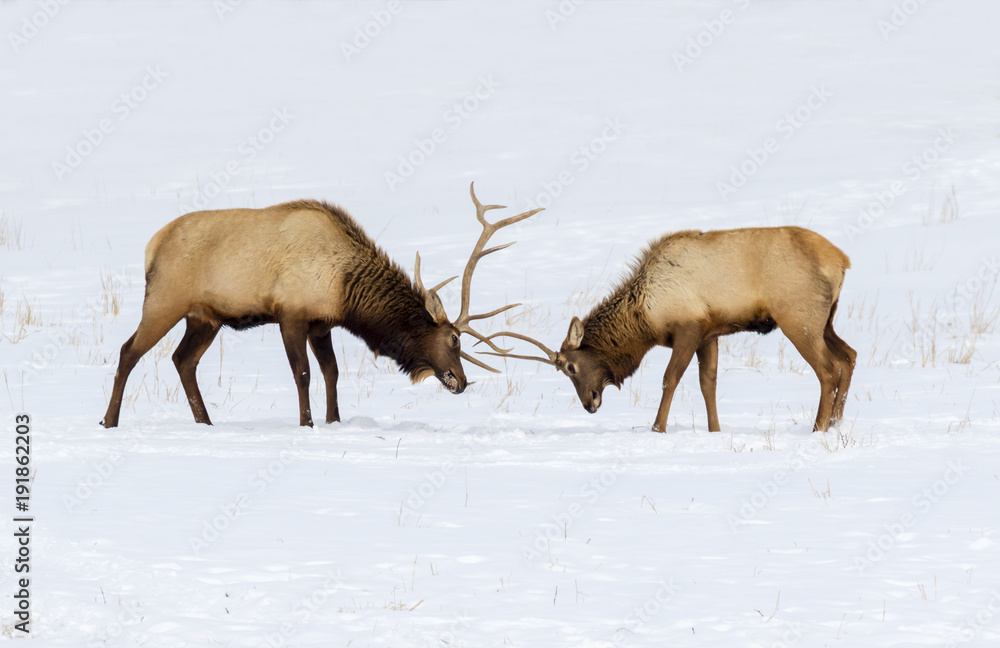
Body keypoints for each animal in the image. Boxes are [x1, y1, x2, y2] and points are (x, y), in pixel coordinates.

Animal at [100, 183, 540, 428]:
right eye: (453, 340)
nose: (462, 381)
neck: (346, 286)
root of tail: (152, 246)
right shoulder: (290, 315)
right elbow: (304, 374)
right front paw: (307, 423)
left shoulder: (322, 323)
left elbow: (332, 371)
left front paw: (334, 419)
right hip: (165, 301)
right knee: (128, 351)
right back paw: (109, 420)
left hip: (205, 318)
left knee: (182, 360)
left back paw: (205, 422)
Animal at [483, 226, 856, 433]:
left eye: (570, 367)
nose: (589, 403)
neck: (645, 317)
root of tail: (842, 260)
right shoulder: (710, 333)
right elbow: (708, 384)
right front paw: (714, 431)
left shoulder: (688, 328)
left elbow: (670, 379)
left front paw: (656, 428)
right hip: (826, 320)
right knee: (849, 356)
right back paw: (835, 423)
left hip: (799, 319)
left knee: (828, 369)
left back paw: (818, 428)